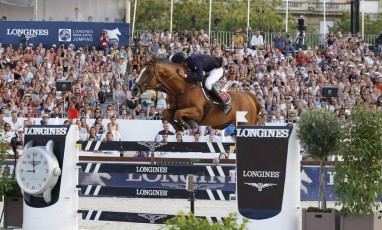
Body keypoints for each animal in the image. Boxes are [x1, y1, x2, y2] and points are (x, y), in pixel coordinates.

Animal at [131, 60, 260, 130]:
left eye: (149, 73)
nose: (134, 90)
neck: (183, 88)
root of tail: (249, 96)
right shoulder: (173, 107)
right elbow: (166, 113)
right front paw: (178, 126)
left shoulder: (198, 112)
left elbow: (179, 114)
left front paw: (188, 124)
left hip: (246, 124)